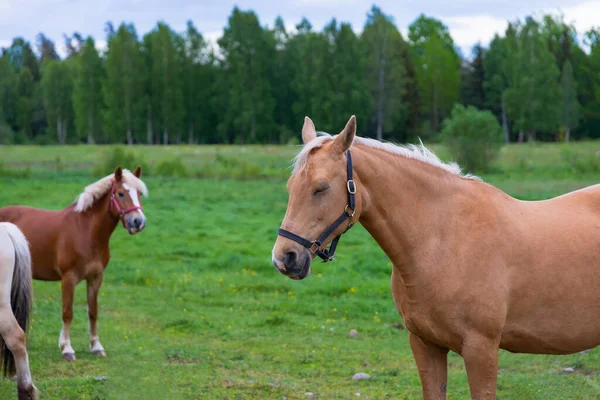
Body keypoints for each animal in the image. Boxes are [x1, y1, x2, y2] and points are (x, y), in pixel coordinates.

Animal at [0, 167, 148, 360]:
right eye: (121, 193)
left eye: (139, 193)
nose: (139, 222)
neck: (86, 231)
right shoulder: (68, 279)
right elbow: (67, 313)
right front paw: (67, 349)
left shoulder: (95, 278)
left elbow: (93, 312)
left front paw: (96, 347)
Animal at [274, 115, 600, 396]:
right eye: (290, 186)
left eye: (321, 188)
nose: (285, 258)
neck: (443, 239)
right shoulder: (425, 344)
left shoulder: (481, 349)